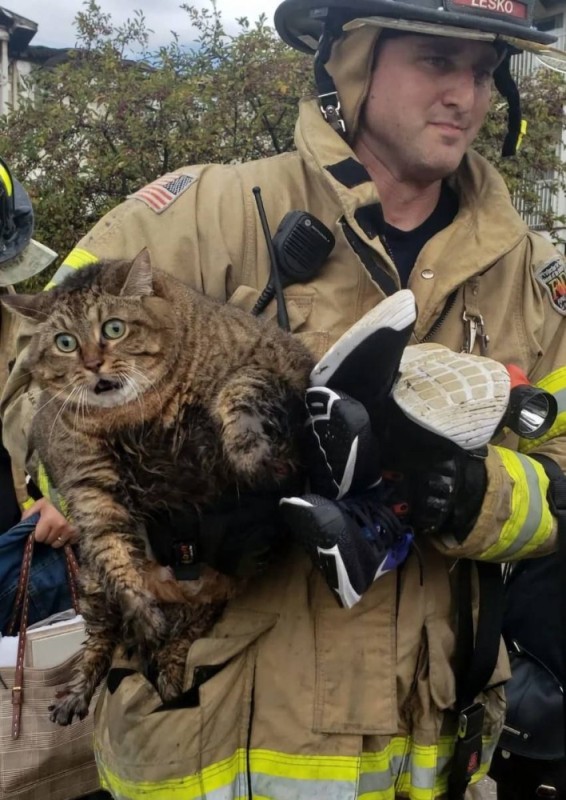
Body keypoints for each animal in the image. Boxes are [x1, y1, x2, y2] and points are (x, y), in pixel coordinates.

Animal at [2, 250, 312, 724]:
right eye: (65, 343)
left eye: (114, 328)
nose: (92, 364)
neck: (135, 413)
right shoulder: (88, 481)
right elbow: (113, 551)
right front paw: (140, 608)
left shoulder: (271, 360)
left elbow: (238, 391)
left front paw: (250, 453)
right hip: (91, 589)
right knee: (100, 643)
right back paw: (80, 692)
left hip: (217, 592)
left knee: (183, 639)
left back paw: (168, 671)